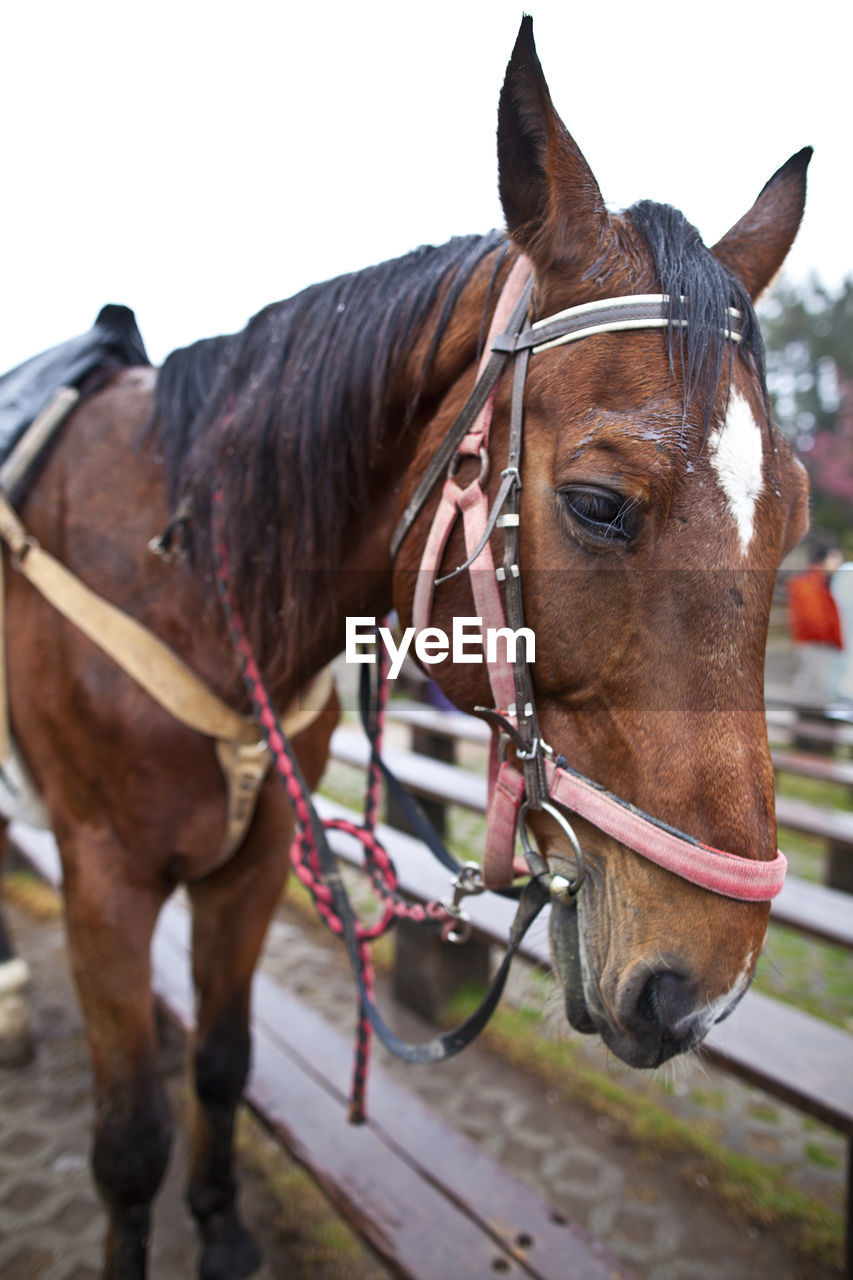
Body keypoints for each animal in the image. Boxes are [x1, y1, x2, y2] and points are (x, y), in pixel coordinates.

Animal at [0, 12, 804, 1280]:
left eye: (797, 517)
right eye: (598, 503)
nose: (708, 986)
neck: (180, 568)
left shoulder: (254, 855)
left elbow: (220, 1062)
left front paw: (221, 1224)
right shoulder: (101, 876)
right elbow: (129, 1140)